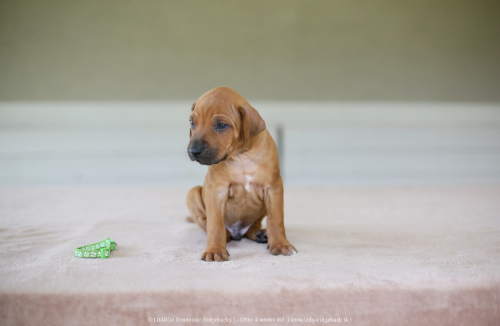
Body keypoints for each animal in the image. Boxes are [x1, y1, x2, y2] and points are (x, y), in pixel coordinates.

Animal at [187, 86, 296, 262]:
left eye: (222, 125)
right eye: (192, 122)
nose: (194, 151)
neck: (241, 157)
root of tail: (238, 233)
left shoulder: (274, 188)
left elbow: (276, 219)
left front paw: (280, 244)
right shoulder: (216, 191)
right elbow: (215, 224)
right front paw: (215, 250)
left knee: (255, 225)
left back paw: (259, 233)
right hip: (193, 193)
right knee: (207, 223)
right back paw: (226, 235)